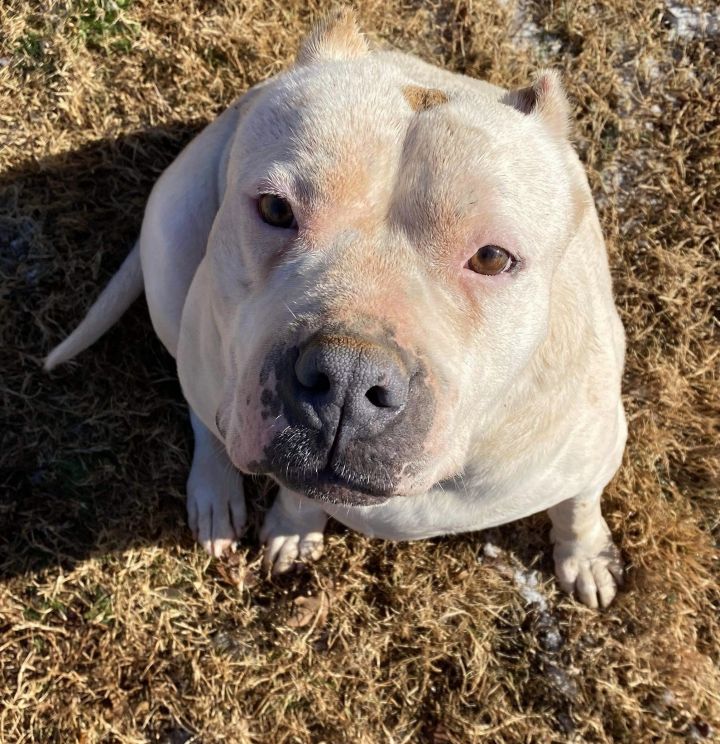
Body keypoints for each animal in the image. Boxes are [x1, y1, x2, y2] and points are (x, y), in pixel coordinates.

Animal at [47, 8, 628, 608]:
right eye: (275, 208)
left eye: (491, 257)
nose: (347, 378)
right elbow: (292, 485)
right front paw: (295, 524)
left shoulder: (598, 452)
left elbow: (580, 507)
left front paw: (585, 556)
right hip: (174, 256)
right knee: (203, 412)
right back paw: (213, 488)